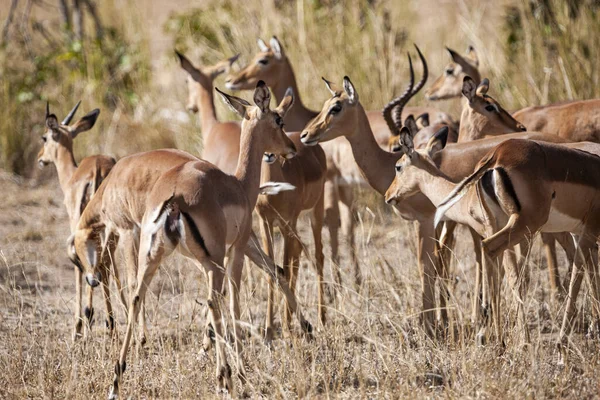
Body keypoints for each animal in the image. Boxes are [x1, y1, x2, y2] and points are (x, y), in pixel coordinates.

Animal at [37, 101, 122, 340]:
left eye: (44, 137)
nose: (41, 158)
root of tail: (98, 170)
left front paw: (80, 325)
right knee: (107, 261)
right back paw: (112, 323)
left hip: (83, 224)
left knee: (94, 266)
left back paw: (90, 319)